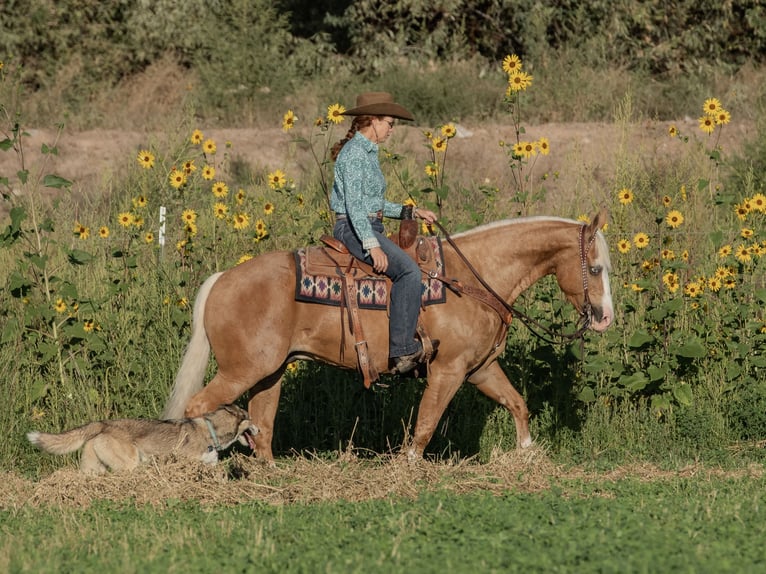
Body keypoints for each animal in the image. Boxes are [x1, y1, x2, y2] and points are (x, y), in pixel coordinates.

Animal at [165, 212, 616, 464]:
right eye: (595, 269)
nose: (605, 318)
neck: (470, 277)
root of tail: (222, 279)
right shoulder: (448, 371)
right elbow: (425, 426)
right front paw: (408, 468)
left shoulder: (481, 368)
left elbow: (517, 403)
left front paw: (526, 454)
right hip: (241, 371)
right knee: (198, 406)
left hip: (269, 373)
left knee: (262, 423)